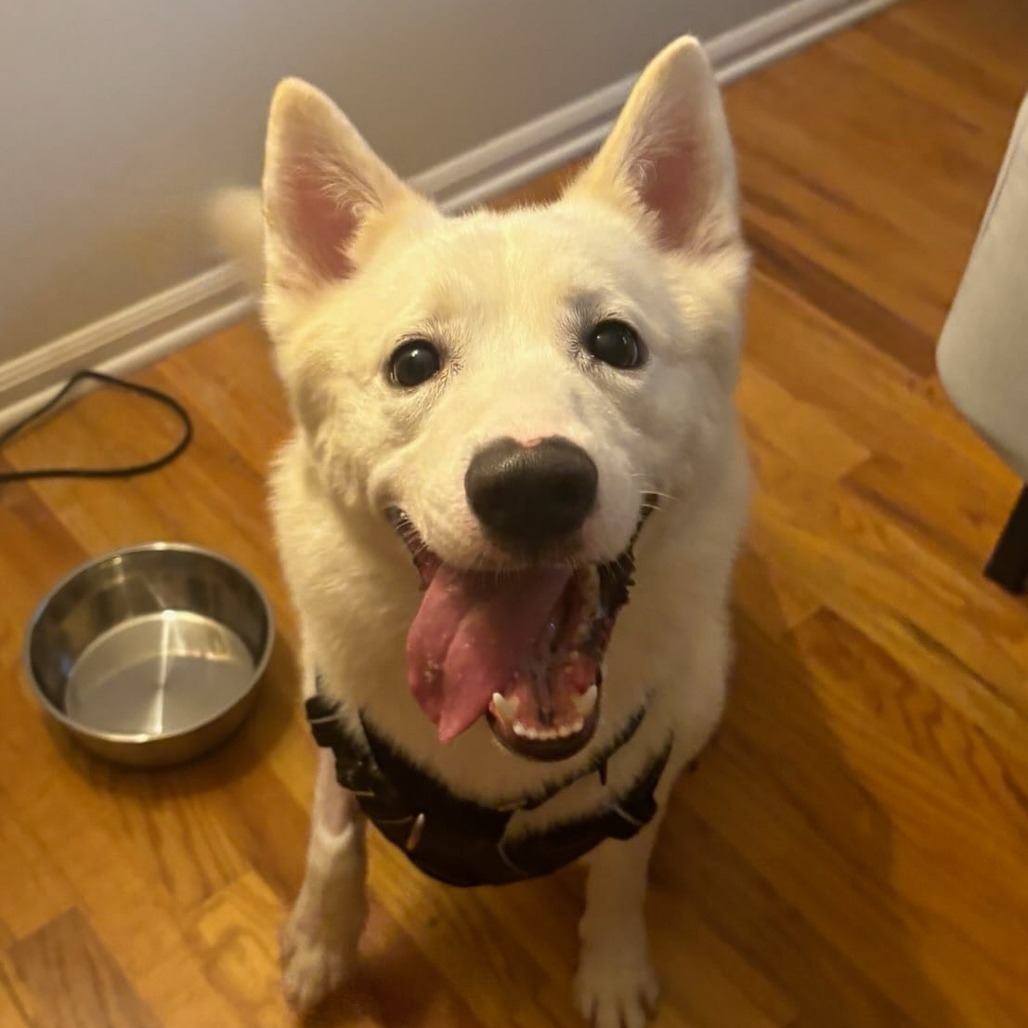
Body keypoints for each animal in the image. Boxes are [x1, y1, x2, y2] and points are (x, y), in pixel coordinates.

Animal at [212, 34, 752, 1028]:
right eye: (413, 362)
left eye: (616, 344)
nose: (533, 488)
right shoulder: (333, 714)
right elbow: (332, 833)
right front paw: (322, 936)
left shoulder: (643, 782)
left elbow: (622, 871)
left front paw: (612, 965)